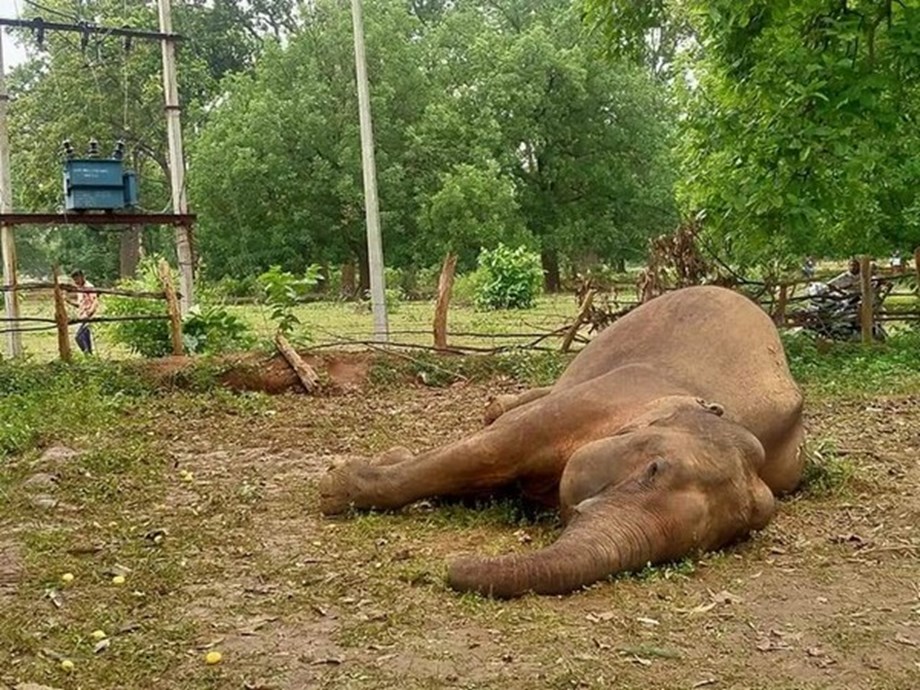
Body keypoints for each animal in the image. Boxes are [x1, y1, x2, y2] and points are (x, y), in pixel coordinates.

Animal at [318, 286, 805, 598]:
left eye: (715, 541)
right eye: (654, 469)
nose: (449, 566)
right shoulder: (611, 392)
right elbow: (491, 448)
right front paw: (334, 486)